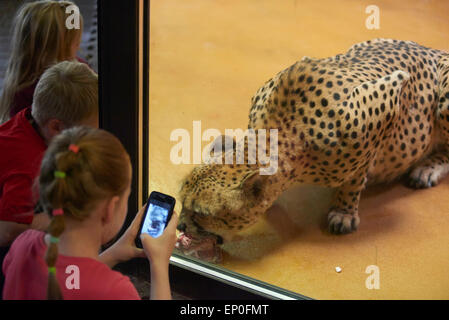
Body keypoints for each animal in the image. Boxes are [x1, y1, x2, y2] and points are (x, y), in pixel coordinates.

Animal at [178, 39, 448, 245]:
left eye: (201, 213)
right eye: (182, 200)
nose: (180, 226)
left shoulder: (384, 108)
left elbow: (355, 178)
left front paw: (344, 211)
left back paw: (427, 169)